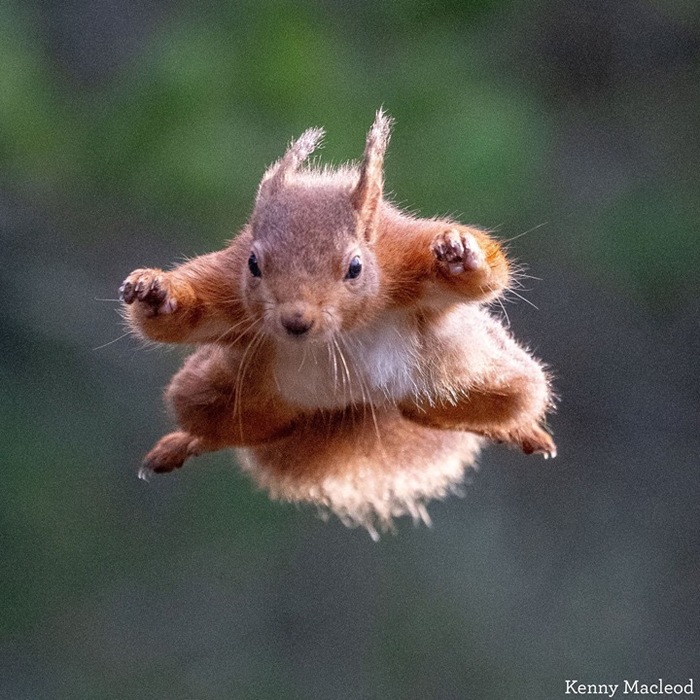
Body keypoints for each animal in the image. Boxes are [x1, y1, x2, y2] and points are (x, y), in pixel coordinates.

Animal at [121, 110, 556, 536]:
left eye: (355, 267)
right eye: (253, 264)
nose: (296, 321)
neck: (340, 331)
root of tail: (356, 405)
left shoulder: (404, 256)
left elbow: (489, 278)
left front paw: (462, 254)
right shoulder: (228, 286)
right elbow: (176, 323)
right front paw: (155, 292)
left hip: (478, 374)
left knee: (488, 408)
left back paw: (521, 432)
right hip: (221, 391)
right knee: (229, 427)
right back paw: (185, 443)